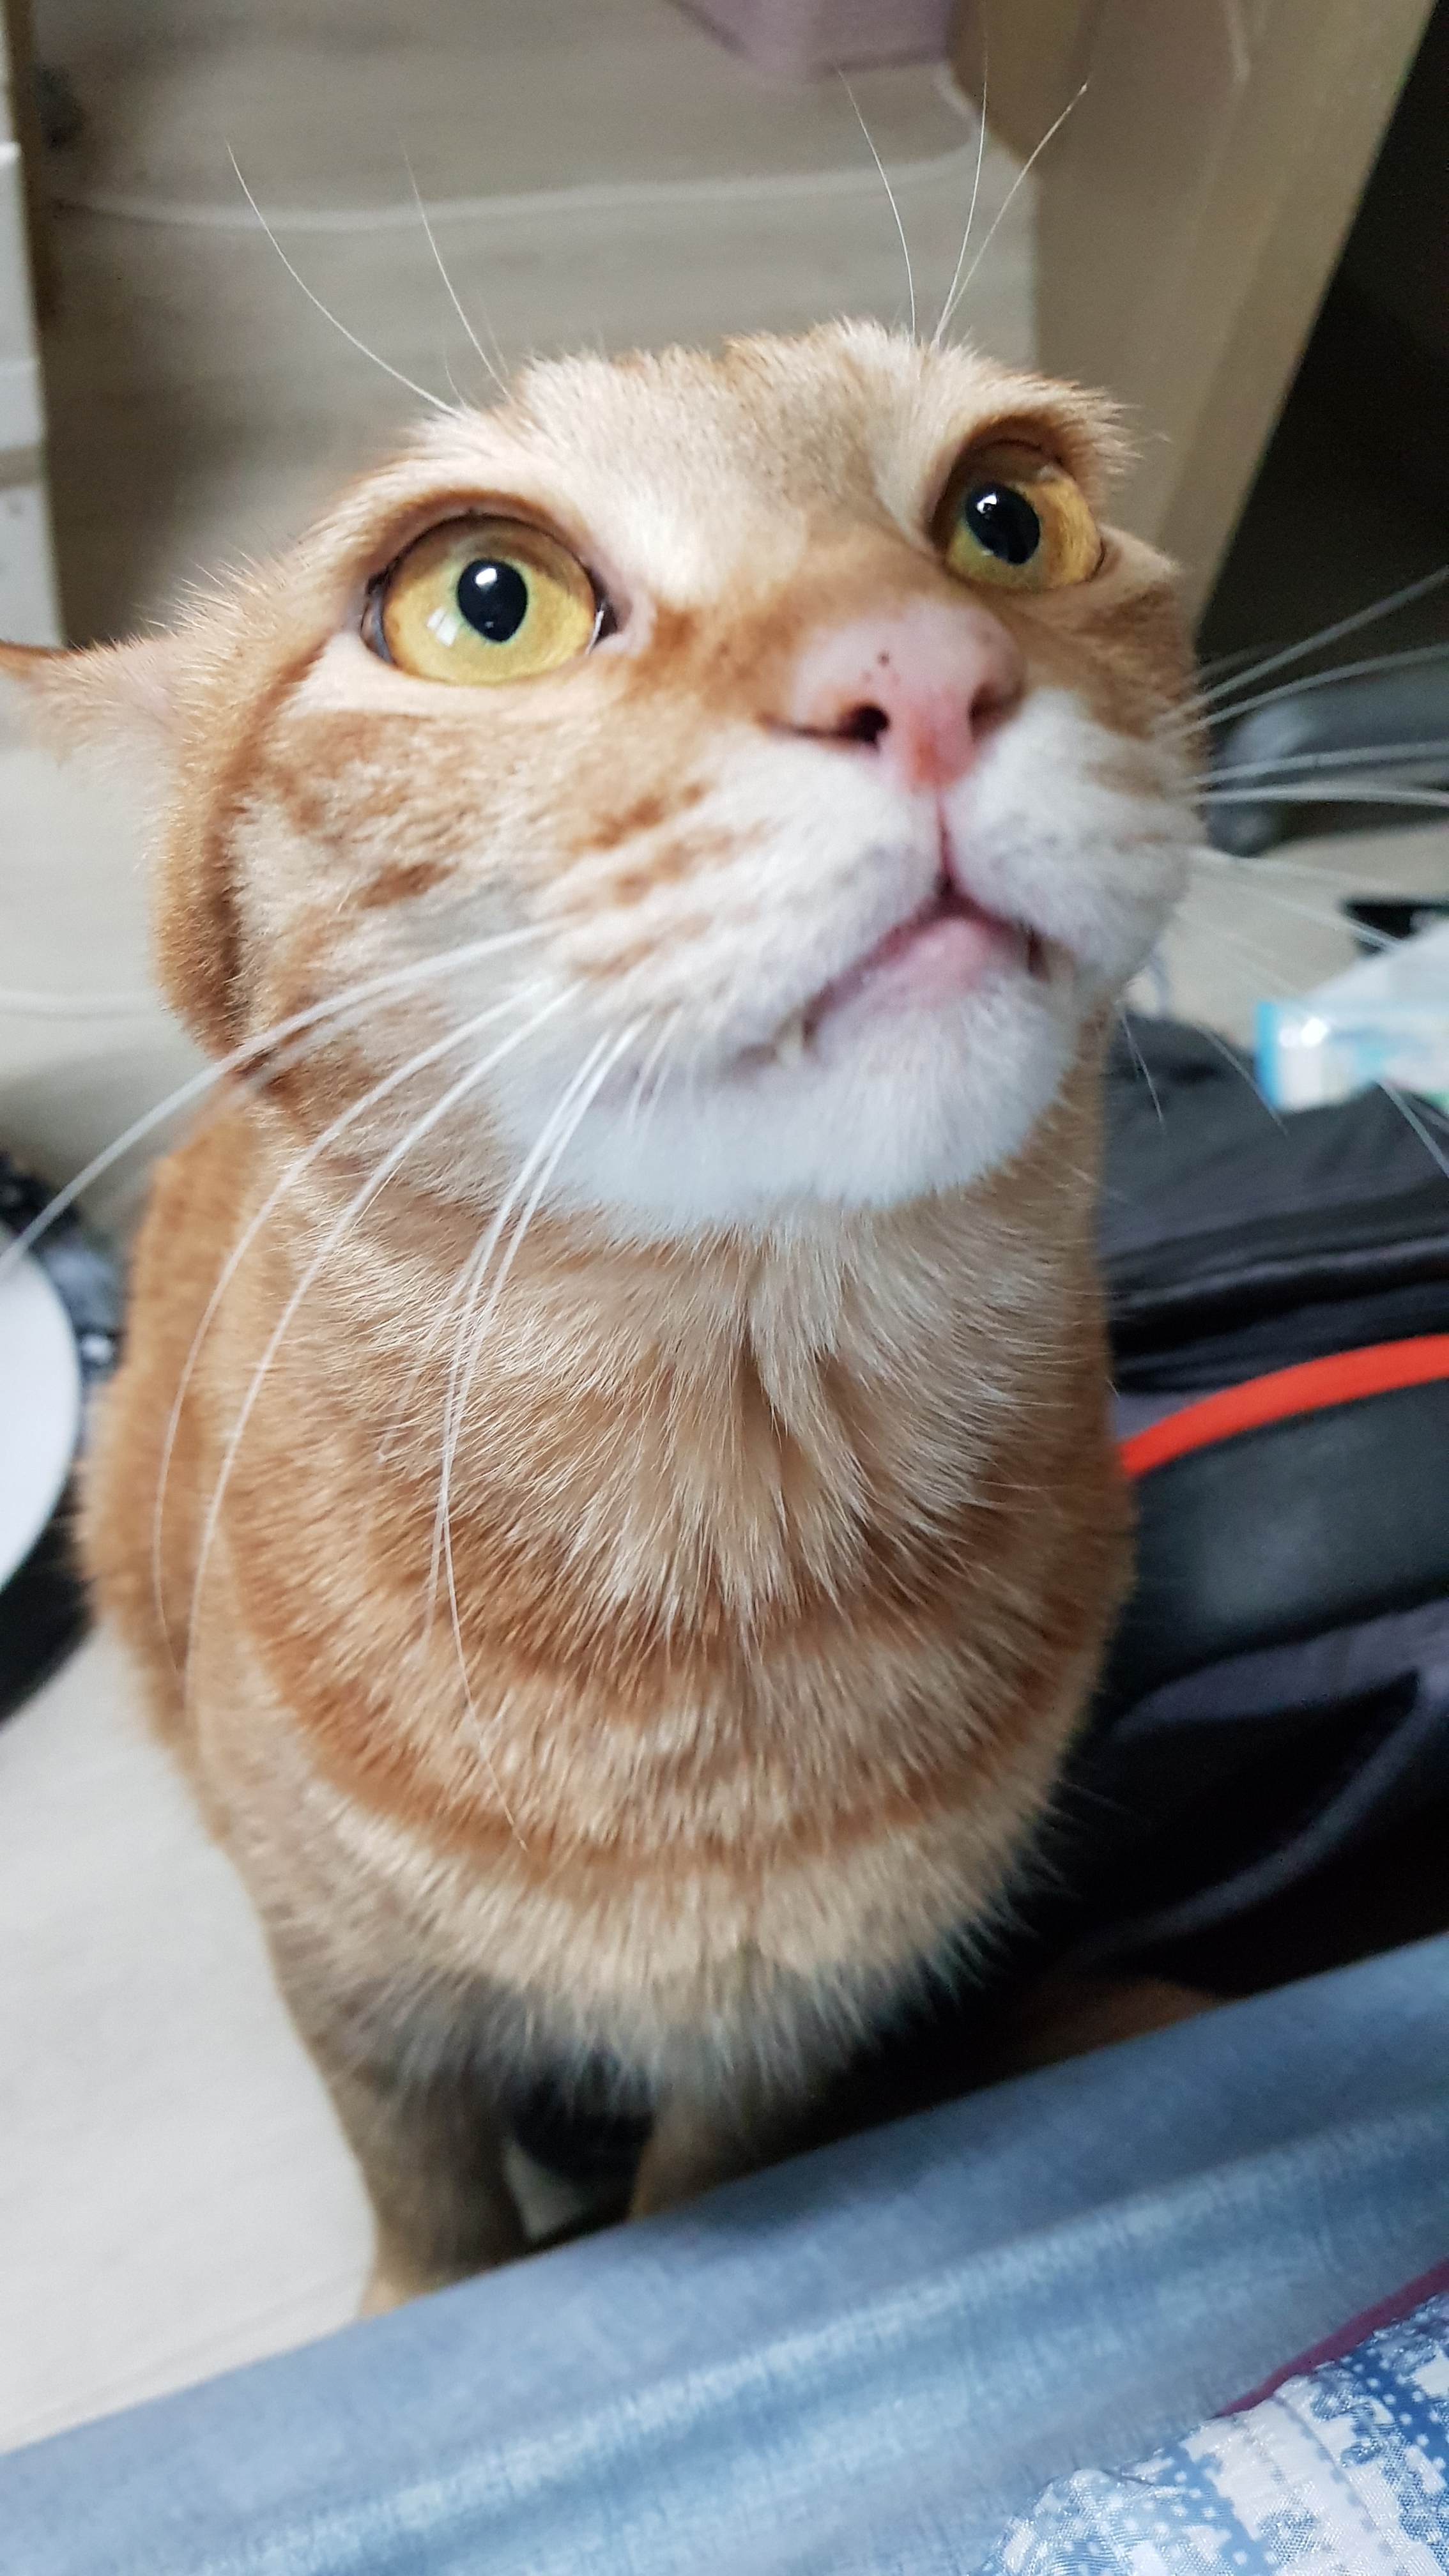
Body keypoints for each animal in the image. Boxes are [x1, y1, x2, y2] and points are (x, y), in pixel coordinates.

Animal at [0, 321, 1198, 2308]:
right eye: (486, 603)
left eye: (1011, 518)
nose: (925, 671)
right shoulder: (352, 1989)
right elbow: (424, 2192)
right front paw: (435, 2300)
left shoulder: (794, 2024)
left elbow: (704, 2170)